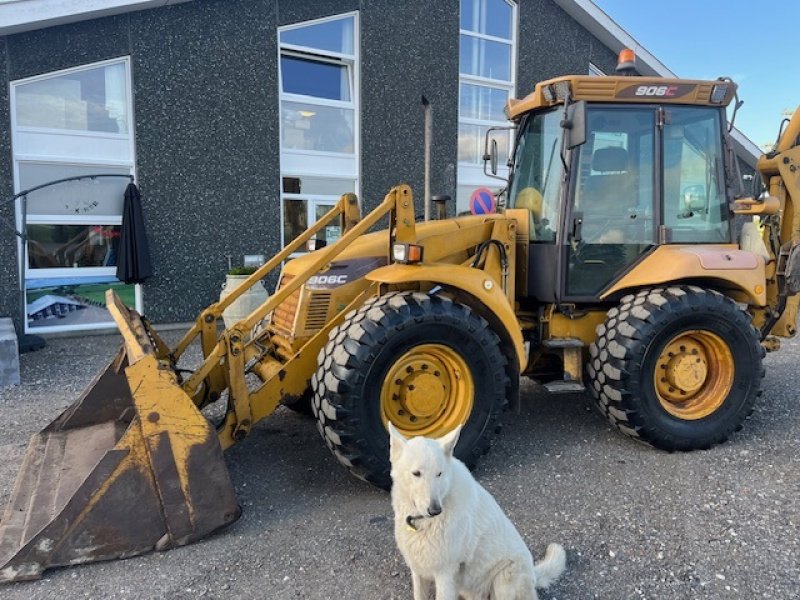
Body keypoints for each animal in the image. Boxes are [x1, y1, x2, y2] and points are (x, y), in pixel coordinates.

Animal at [386, 424, 564, 596]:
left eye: (439, 474)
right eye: (416, 473)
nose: (435, 510)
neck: (423, 522)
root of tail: (534, 574)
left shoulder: (445, 575)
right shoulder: (418, 571)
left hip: (504, 580)